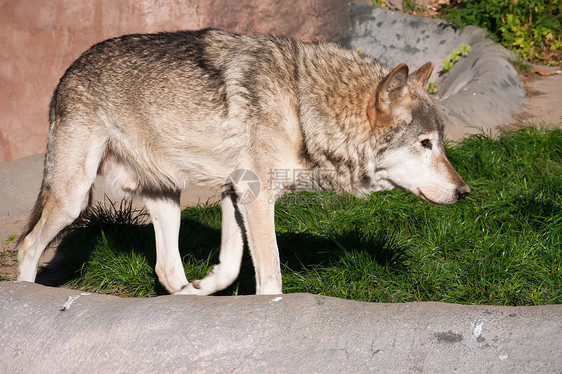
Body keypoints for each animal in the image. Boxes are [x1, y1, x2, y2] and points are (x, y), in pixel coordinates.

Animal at [15, 28, 468, 296]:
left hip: (167, 198)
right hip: (75, 198)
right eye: (425, 144)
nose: (465, 192)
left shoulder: (234, 192)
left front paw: (212, 282)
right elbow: (271, 276)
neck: (302, 106)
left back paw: (191, 296)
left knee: (167, 270)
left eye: (441, 144)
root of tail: (67, 72)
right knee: (28, 246)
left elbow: (232, 267)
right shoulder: (255, 195)